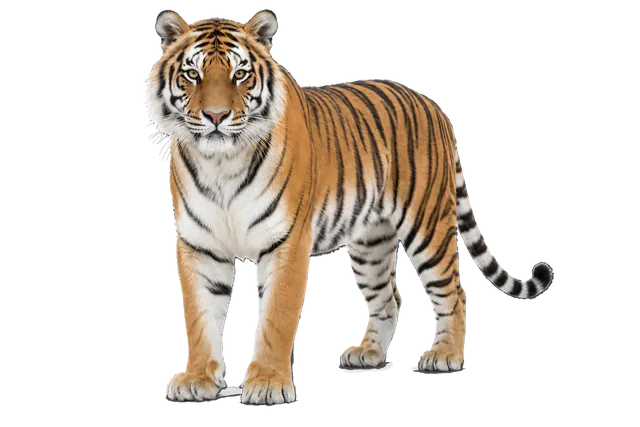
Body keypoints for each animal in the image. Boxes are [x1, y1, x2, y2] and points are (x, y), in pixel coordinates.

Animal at [146, 8, 554, 405]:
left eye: (240, 74)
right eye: (193, 74)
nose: (216, 117)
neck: (221, 164)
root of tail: (432, 104)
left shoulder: (287, 242)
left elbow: (276, 317)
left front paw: (267, 384)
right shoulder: (199, 244)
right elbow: (200, 319)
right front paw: (197, 380)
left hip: (427, 226)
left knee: (453, 290)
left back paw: (445, 355)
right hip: (370, 244)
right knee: (389, 297)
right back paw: (367, 353)